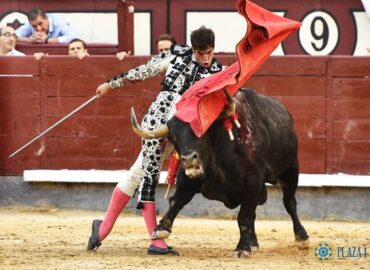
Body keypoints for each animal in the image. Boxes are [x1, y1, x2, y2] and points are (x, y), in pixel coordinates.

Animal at [130, 88, 310, 258]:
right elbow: (176, 201)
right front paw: (161, 229)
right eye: (173, 137)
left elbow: (244, 216)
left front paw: (242, 249)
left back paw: (301, 238)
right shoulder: (188, 180)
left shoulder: (253, 180)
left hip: (291, 170)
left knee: (289, 202)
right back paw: (253, 243)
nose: (188, 159)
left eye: (202, 131)